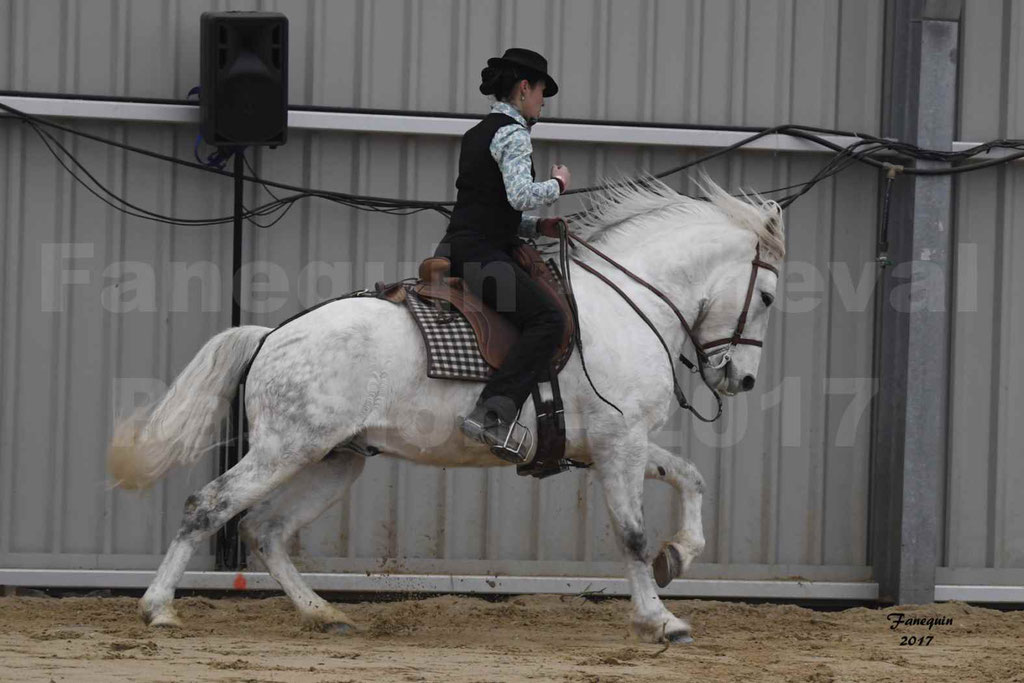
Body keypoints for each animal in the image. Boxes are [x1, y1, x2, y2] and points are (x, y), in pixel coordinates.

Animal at [108, 174, 782, 643]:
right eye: (771, 297)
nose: (742, 378)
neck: (626, 306)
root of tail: (274, 334)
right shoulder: (620, 444)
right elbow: (633, 534)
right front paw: (659, 620)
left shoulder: (617, 444)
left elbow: (690, 479)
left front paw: (680, 555)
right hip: (286, 449)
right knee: (209, 506)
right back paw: (159, 610)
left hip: (334, 459)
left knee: (267, 530)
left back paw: (324, 615)